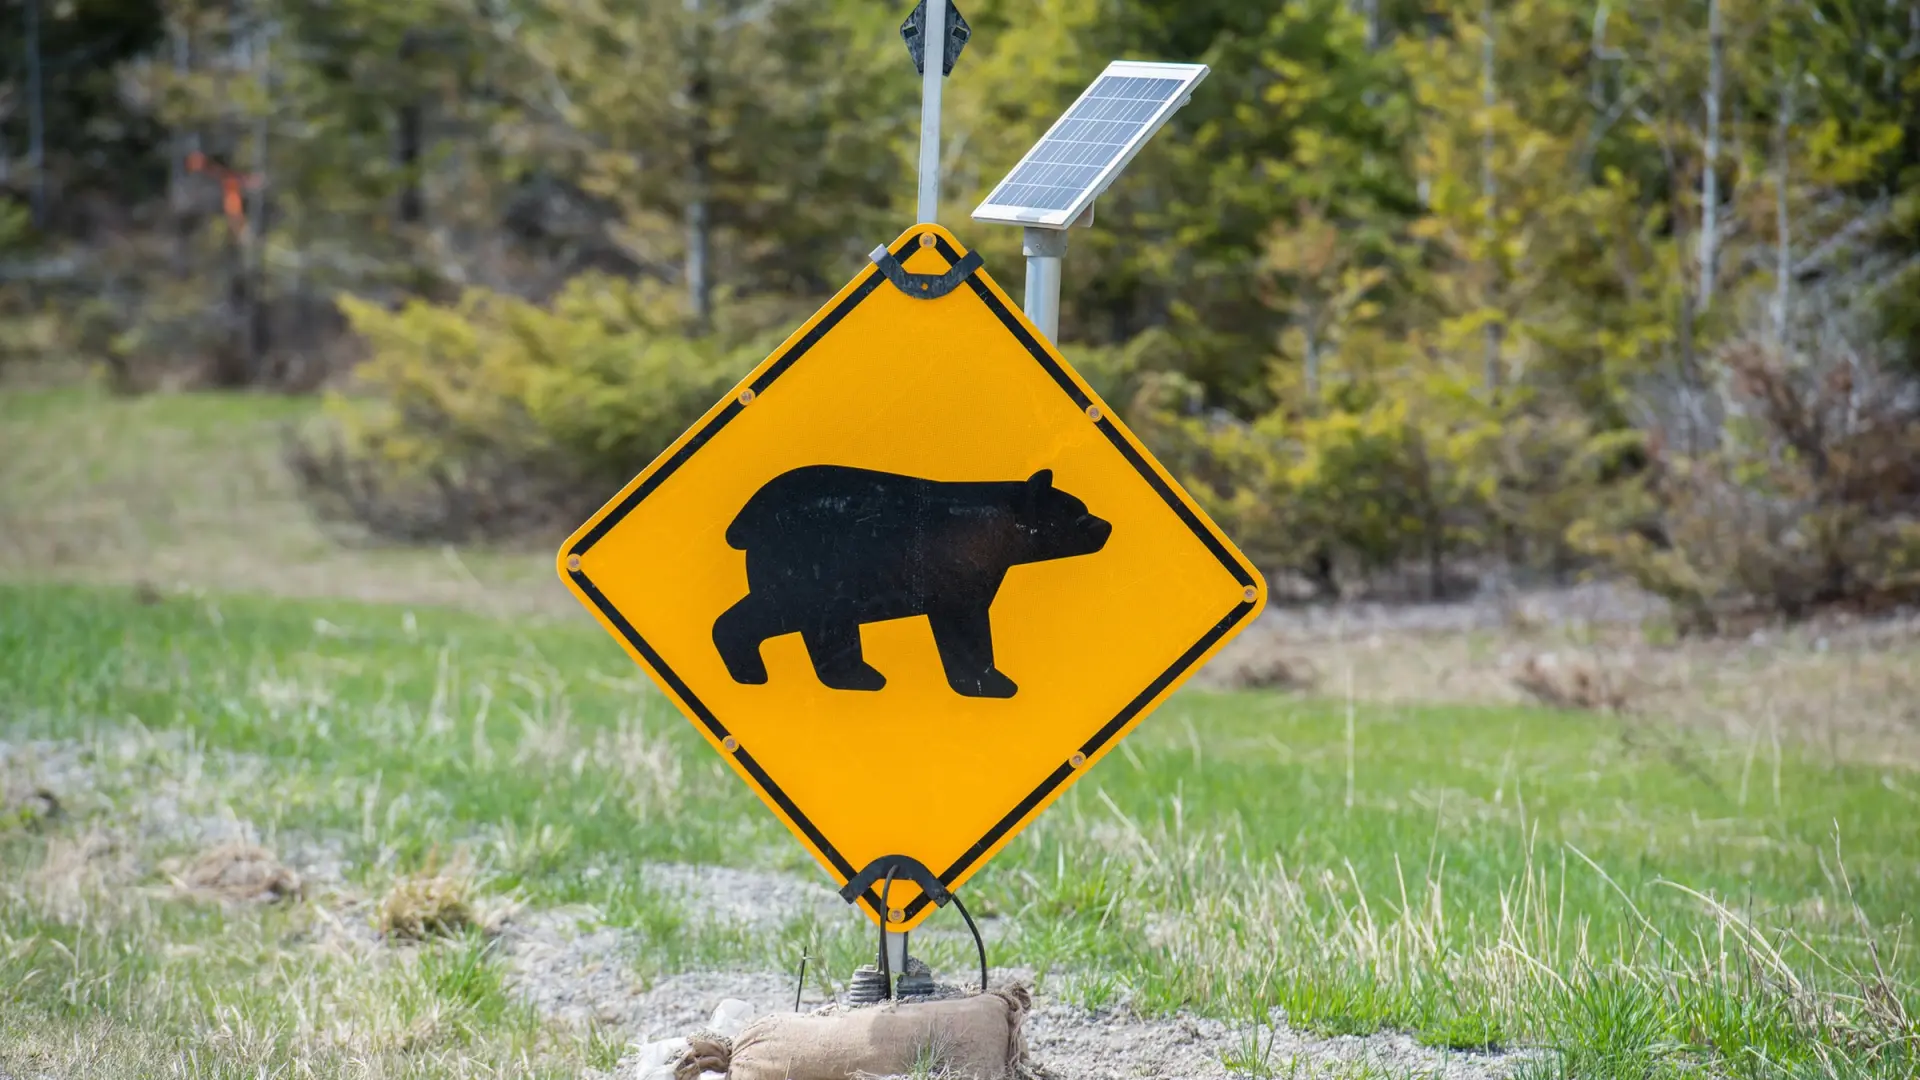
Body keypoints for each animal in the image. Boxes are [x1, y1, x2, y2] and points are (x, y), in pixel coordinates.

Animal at [711, 465, 1112, 698]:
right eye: (1078, 514)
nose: (1107, 525)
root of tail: (743, 524)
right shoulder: (956, 592)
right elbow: (966, 638)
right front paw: (992, 685)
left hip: (828, 595)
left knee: (830, 638)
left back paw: (860, 678)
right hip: (802, 583)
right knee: (746, 620)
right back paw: (750, 673)